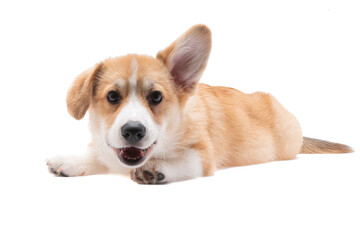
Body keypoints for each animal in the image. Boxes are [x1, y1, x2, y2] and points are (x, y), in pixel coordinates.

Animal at [46, 24, 352, 184]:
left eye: (156, 97)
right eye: (112, 97)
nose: (133, 131)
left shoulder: (201, 157)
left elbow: (178, 161)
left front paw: (155, 168)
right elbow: (98, 154)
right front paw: (71, 161)